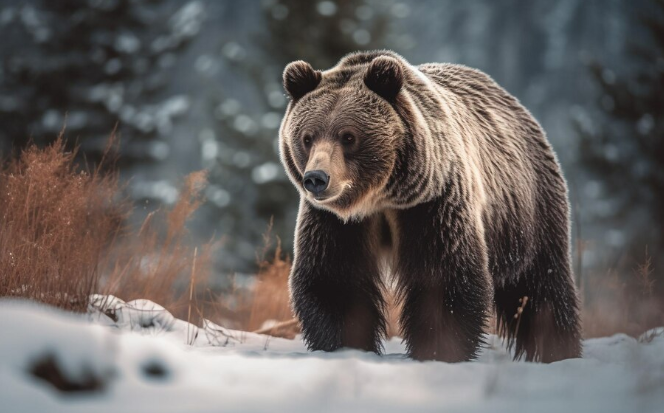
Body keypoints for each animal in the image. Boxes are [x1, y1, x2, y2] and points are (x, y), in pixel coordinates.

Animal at [278, 50, 580, 360]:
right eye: (307, 137)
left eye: (348, 136)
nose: (316, 178)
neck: (380, 197)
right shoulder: (335, 221)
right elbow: (335, 281)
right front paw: (345, 346)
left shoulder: (433, 204)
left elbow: (443, 280)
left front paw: (440, 349)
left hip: (528, 211)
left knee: (542, 285)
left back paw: (558, 348)